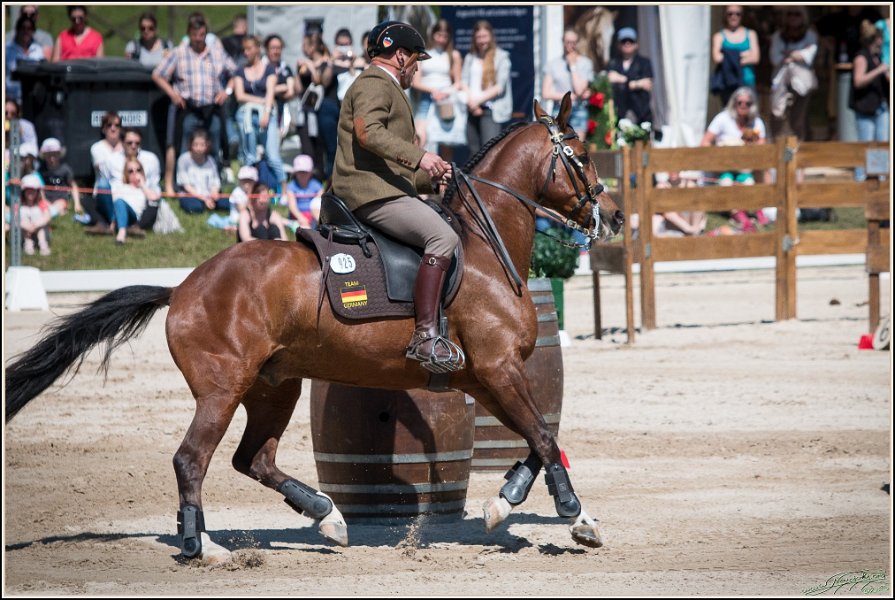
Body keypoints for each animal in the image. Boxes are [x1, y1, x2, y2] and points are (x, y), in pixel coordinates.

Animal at [5, 93, 624, 564]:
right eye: (583, 156)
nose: (614, 217)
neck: (482, 250)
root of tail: (181, 288)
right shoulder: (498, 368)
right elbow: (543, 435)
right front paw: (577, 517)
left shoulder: (487, 378)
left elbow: (540, 437)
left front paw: (507, 499)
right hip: (222, 389)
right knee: (192, 459)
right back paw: (204, 547)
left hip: (273, 386)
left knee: (253, 459)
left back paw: (327, 517)